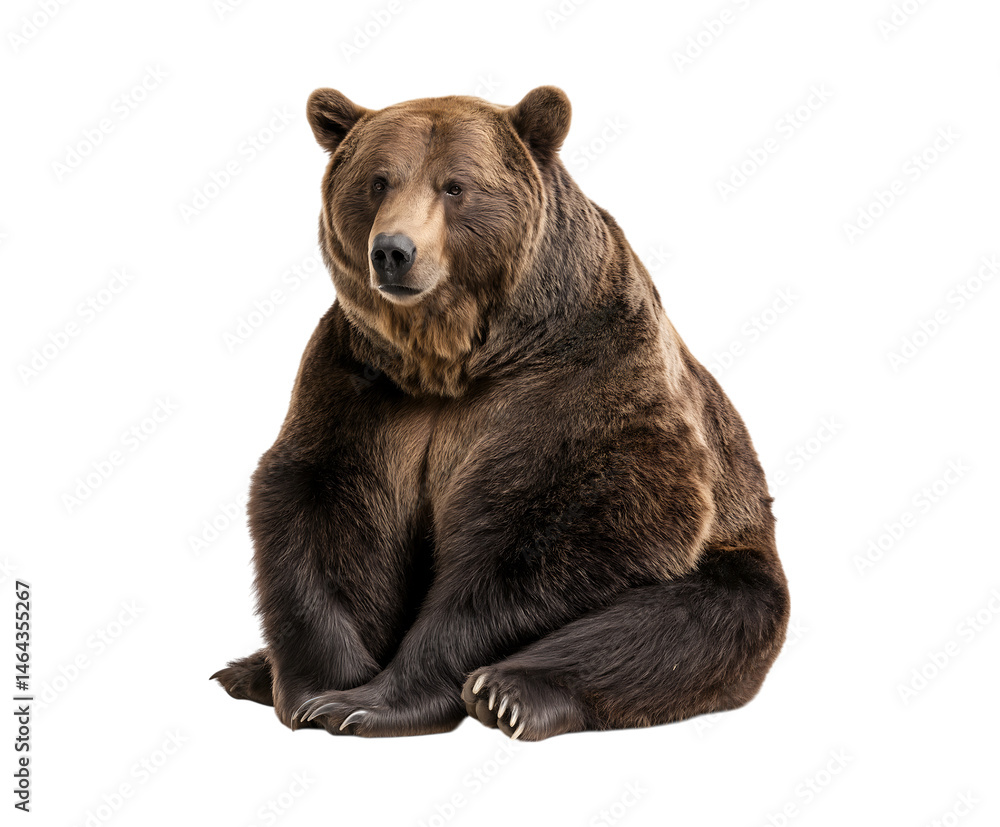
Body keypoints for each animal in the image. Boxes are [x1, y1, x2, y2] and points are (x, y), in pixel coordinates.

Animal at [211, 86, 790, 741]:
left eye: (455, 186)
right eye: (378, 181)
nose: (392, 252)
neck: (452, 359)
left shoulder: (578, 372)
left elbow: (558, 525)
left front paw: (368, 703)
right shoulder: (359, 379)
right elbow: (324, 503)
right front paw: (318, 687)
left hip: (738, 562)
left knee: (673, 630)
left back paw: (507, 691)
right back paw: (246, 670)